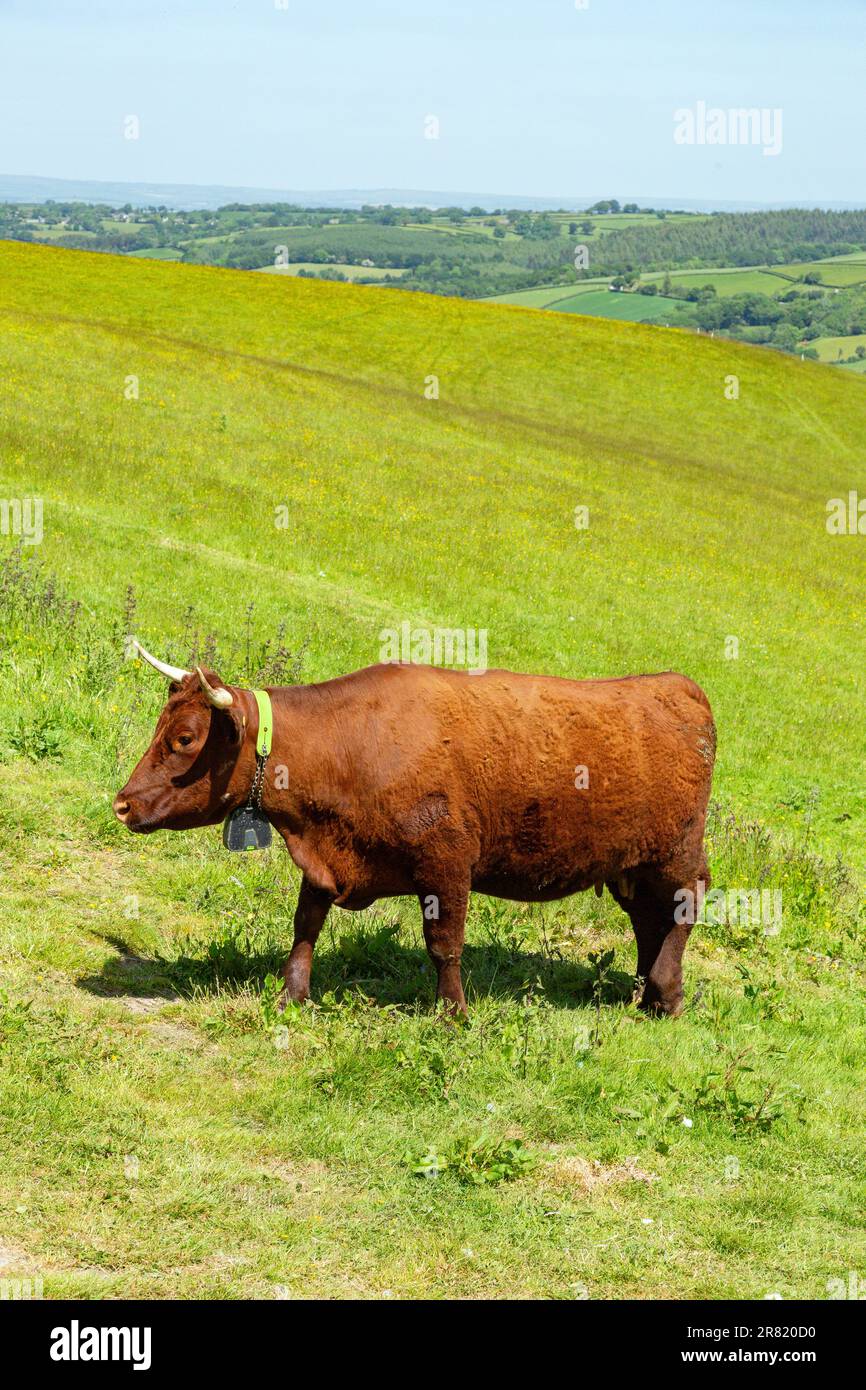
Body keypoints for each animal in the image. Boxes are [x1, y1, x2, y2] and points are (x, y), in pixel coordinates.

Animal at [114, 643, 716, 1017]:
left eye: (186, 738)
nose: (121, 805)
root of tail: (679, 687)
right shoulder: (325, 861)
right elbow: (306, 925)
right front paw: (292, 995)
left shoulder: (447, 865)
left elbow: (444, 945)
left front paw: (452, 1014)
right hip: (631, 867)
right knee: (648, 921)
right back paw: (642, 993)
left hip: (676, 854)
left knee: (683, 910)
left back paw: (665, 995)